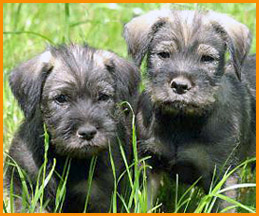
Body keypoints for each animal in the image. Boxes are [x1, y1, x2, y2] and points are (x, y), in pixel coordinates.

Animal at [123, 9, 256, 212]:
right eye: (164, 54)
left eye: (207, 58)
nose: (180, 86)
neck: (181, 121)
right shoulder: (148, 165)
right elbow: (143, 203)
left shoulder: (224, 176)